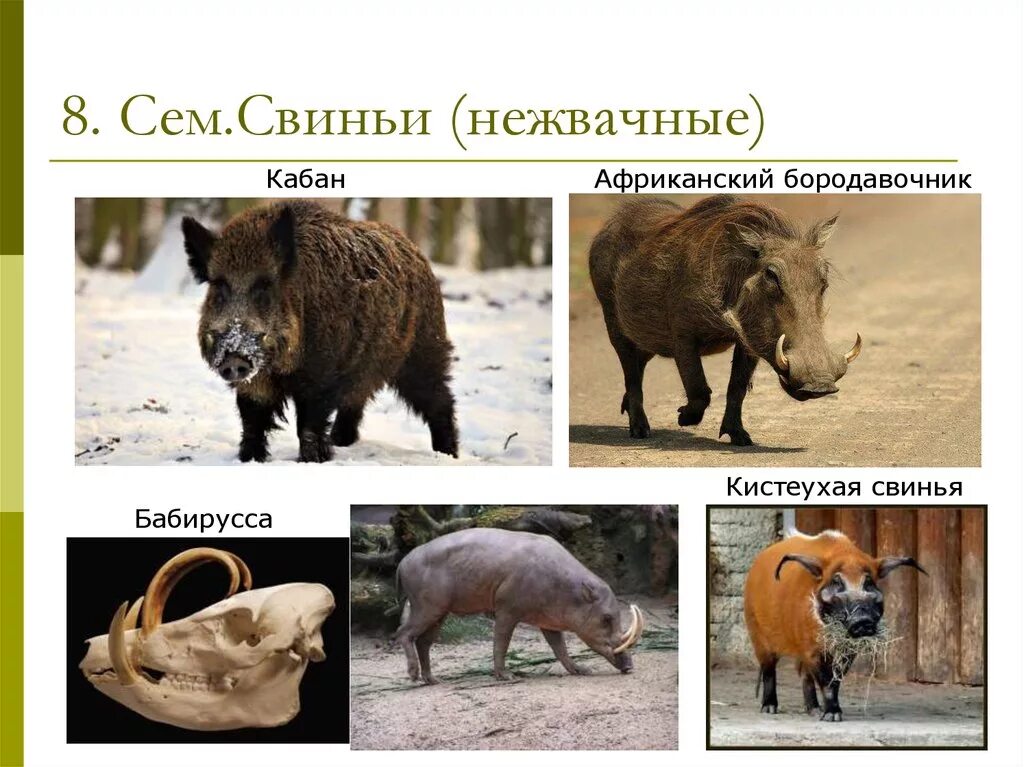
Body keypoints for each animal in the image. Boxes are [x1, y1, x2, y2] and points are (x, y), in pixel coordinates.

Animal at [182, 200, 458, 462]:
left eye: (265, 287)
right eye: (219, 288)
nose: (234, 358)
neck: (280, 366)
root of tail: (416, 252)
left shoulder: (320, 374)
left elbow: (308, 425)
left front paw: (312, 460)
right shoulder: (256, 382)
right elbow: (252, 420)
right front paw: (249, 459)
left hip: (423, 350)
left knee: (440, 399)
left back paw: (448, 454)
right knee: (356, 399)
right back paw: (341, 442)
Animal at [394, 528, 644, 684]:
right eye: (606, 618)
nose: (629, 666)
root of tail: (401, 564)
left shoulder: (549, 621)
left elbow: (560, 649)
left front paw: (581, 670)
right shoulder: (507, 610)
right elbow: (501, 643)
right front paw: (505, 676)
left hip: (440, 613)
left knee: (424, 642)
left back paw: (432, 679)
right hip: (426, 606)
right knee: (403, 633)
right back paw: (413, 674)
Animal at [588, 195, 862, 445]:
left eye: (823, 277)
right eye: (771, 275)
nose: (820, 385)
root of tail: (607, 227)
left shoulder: (748, 340)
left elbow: (737, 388)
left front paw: (740, 437)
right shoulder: (682, 335)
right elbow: (699, 388)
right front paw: (684, 418)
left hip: (647, 339)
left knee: (638, 367)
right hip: (616, 327)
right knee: (631, 374)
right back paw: (639, 429)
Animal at [744, 528, 926, 721]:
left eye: (869, 582)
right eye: (837, 582)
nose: (862, 620)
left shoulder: (846, 651)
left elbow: (836, 679)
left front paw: (831, 713)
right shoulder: (812, 649)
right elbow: (826, 680)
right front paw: (832, 716)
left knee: (804, 675)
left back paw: (814, 710)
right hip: (757, 635)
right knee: (769, 670)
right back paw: (769, 708)